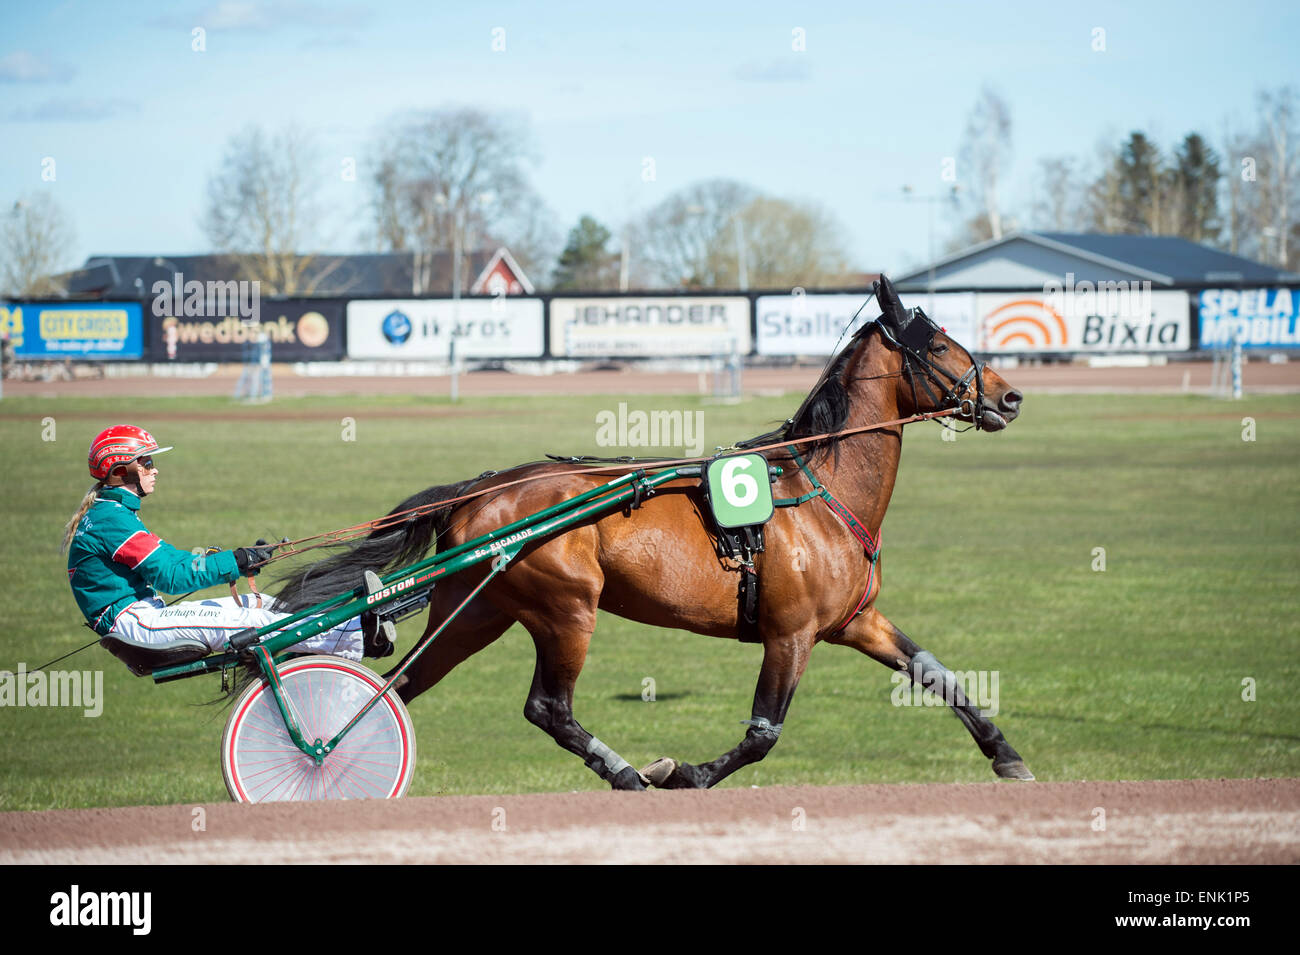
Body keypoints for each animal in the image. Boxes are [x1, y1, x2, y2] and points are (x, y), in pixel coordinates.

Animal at [274, 274, 1033, 790]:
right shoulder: (791, 633)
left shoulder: (854, 621)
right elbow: (763, 733)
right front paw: (685, 771)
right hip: (567, 608)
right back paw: (626, 772)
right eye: (942, 344)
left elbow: (938, 674)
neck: (819, 492)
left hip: (479, 609)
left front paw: (1007, 754)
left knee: (400, 685)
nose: (1010, 395)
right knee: (547, 708)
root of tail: (479, 493)